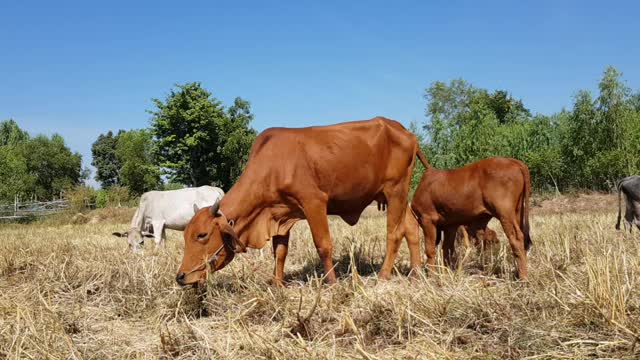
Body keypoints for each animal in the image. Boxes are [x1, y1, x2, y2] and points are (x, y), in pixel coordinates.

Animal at [174, 116, 430, 286]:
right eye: (185, 235)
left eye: (202, 235)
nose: (181, 277)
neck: (273, 164)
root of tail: (407, 133)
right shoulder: (280, 213)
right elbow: (279, 252)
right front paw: (277, 284)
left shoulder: (313, 203)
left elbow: (323, 245)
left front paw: (332, 283)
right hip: (398, 196)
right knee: (410, 228)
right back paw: (416, 272)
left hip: (396, 191)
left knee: (394, 233)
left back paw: (384, 275)